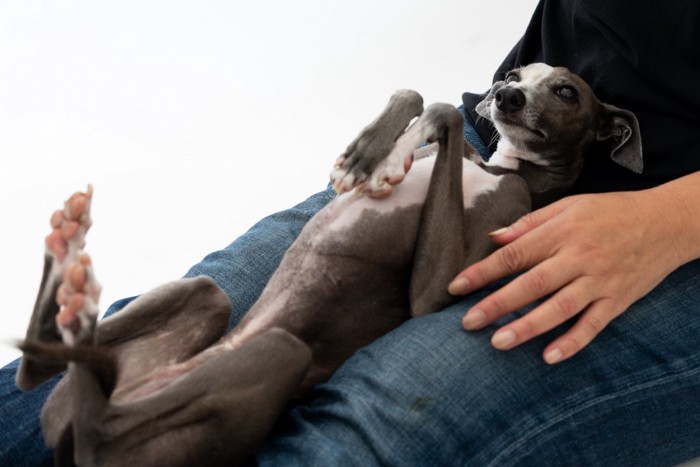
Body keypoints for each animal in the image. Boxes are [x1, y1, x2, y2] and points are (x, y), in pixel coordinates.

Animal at [16, 64, 644, 466]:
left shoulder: (443, 285)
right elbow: (418, 96)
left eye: (565, 91)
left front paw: (383, 157)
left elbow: (441, 110)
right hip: (200, 298)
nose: (503, 95)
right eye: (515, 75)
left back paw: (74, 281)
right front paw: (374, 155)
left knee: (90, 420)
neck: (500, 169)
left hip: (272, 355)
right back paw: (69, 262)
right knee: (36, 369)